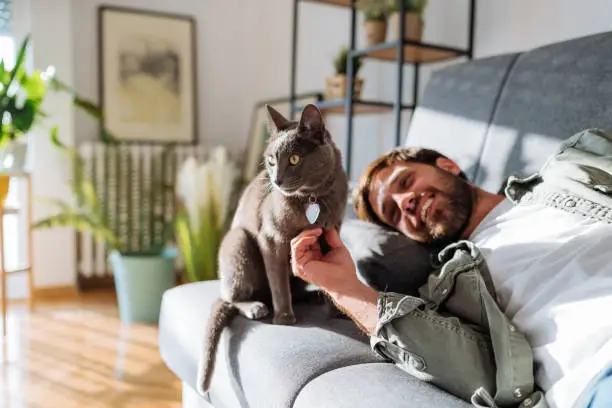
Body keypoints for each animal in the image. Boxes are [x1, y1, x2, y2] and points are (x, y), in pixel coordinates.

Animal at [197, 103, 350, 396]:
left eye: (294, 159)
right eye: (270, 160)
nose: (277, 180)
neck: (313, 197)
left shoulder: (331, 233)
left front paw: (336, 310)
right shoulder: (272, 239)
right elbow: (279, 283)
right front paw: (284, 317)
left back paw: (311, 297)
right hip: (238, 241)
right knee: (231, 297)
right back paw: (256, 307)